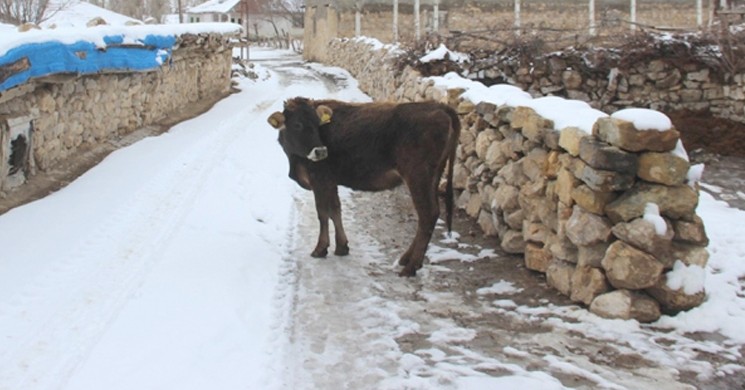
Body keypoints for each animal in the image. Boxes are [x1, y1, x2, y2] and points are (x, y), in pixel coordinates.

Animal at [268, 96, 460, 276]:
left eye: (317, 124)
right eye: (297, 124)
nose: (321, 151)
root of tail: (438, 105)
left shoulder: (320, 180)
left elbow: (323, 213)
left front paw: (320, 249)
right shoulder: (330, 182)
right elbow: (335, 210)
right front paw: (342, 247)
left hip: (418, 177)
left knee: (427, 215)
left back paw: (410, 267)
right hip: (433, 177)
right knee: (430, 215)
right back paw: (406, 259)